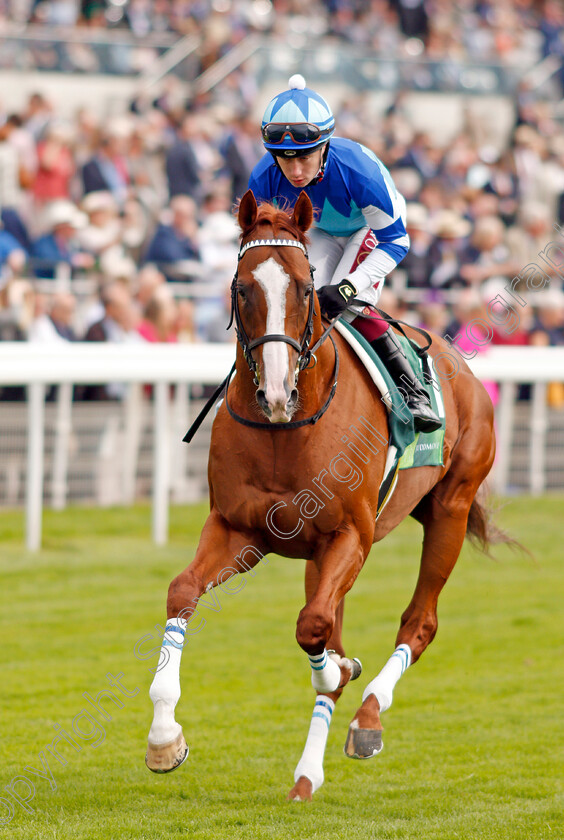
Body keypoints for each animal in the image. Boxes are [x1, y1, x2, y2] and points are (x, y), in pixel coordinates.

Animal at [147, 189, 502, 800]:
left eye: (305, 289)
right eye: (243, 288)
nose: (276, 393)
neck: (286, 431)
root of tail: (458, 361)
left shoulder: (350, 534)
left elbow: (314, 630)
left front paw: (340, 671)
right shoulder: (240, 529)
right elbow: (183, 591)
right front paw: (165, 738)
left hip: (449, 509)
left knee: (420, 621)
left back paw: (365, 720)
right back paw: (306, 775)